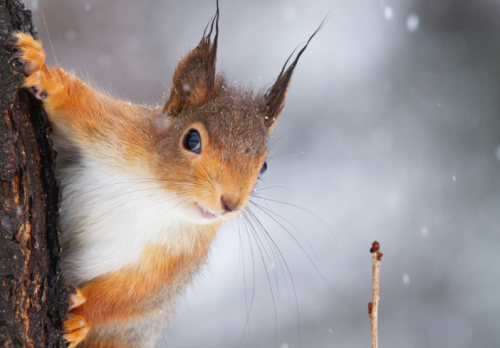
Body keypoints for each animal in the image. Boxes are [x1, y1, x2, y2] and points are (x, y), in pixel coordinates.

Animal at [5, 4, 320, 348]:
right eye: (192, 140)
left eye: (263, 167)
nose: (231, 203)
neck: (158, 196)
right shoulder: (117, 130)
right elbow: (77, 104)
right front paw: (41, 68)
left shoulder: (176, 261)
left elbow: (134, 296)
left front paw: (80, 319)